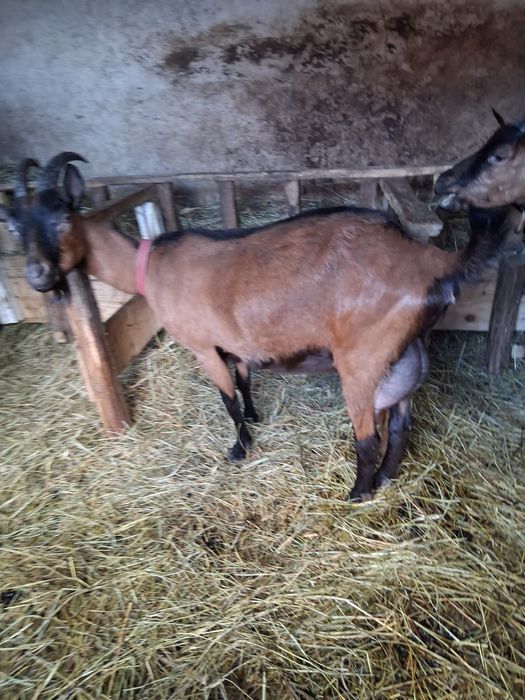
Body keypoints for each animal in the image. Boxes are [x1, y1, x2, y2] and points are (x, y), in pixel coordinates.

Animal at [1, 153, 519, 501]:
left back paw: (358, 492)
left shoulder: (203, 346)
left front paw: (239, 448)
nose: (38, 275)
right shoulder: (238, 343)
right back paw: (388, 478)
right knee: (403, 422)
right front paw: (254, 418)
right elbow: (245, 383)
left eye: (63, 217)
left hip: (362, 361)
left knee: (368, 436)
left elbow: (226, 398)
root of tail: (431, 260)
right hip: (406, 354)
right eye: (14, 226)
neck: (150, 265)